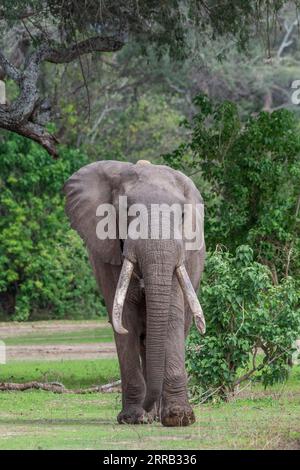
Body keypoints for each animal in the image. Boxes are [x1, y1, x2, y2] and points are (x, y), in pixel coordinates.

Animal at [64, 160, 205, 428]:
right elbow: (125, 318)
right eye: (127, 211)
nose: (147, 409)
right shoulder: (107, 254)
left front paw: (178, 418)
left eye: (183, 215)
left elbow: (172, 313)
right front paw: (133, 418)